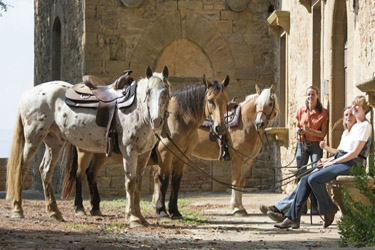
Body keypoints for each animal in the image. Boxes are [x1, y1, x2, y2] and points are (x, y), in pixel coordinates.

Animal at [6, 66, 170, 227]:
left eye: (165, 92)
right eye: (148, 92)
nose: (156, 120)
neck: (137, 110)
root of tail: (29, 93)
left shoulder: (143, 154)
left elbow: (137, 183)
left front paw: (141, 217)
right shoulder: (129, 152)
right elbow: (130, 183)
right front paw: (133, 218)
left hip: (54, 142)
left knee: (46, 170)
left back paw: (54, 212)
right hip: (33, 138)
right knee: (21, 168)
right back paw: (17, 210)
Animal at [61, 75, 231, 219]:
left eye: (225, 100)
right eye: (210, 100)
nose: (220, 128)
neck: (178, 118)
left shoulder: (182, 157)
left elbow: (176, 182)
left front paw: (175, 211)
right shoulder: (165, 155)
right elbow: (164, 180)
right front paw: (162, 210)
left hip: (100, 153)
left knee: (91, 173)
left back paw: (95, 207)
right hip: (84, 151)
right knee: (79, 175)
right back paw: (79, 208)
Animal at [153, 84, 280, 217]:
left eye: (270, 103)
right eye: (256, 104)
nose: (259, 123)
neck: (245, 122)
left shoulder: (248, 161)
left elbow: (241, 183)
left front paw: (241, 207)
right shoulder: (237, 160)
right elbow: (235, 182)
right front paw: (236, 208)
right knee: (159, 177)